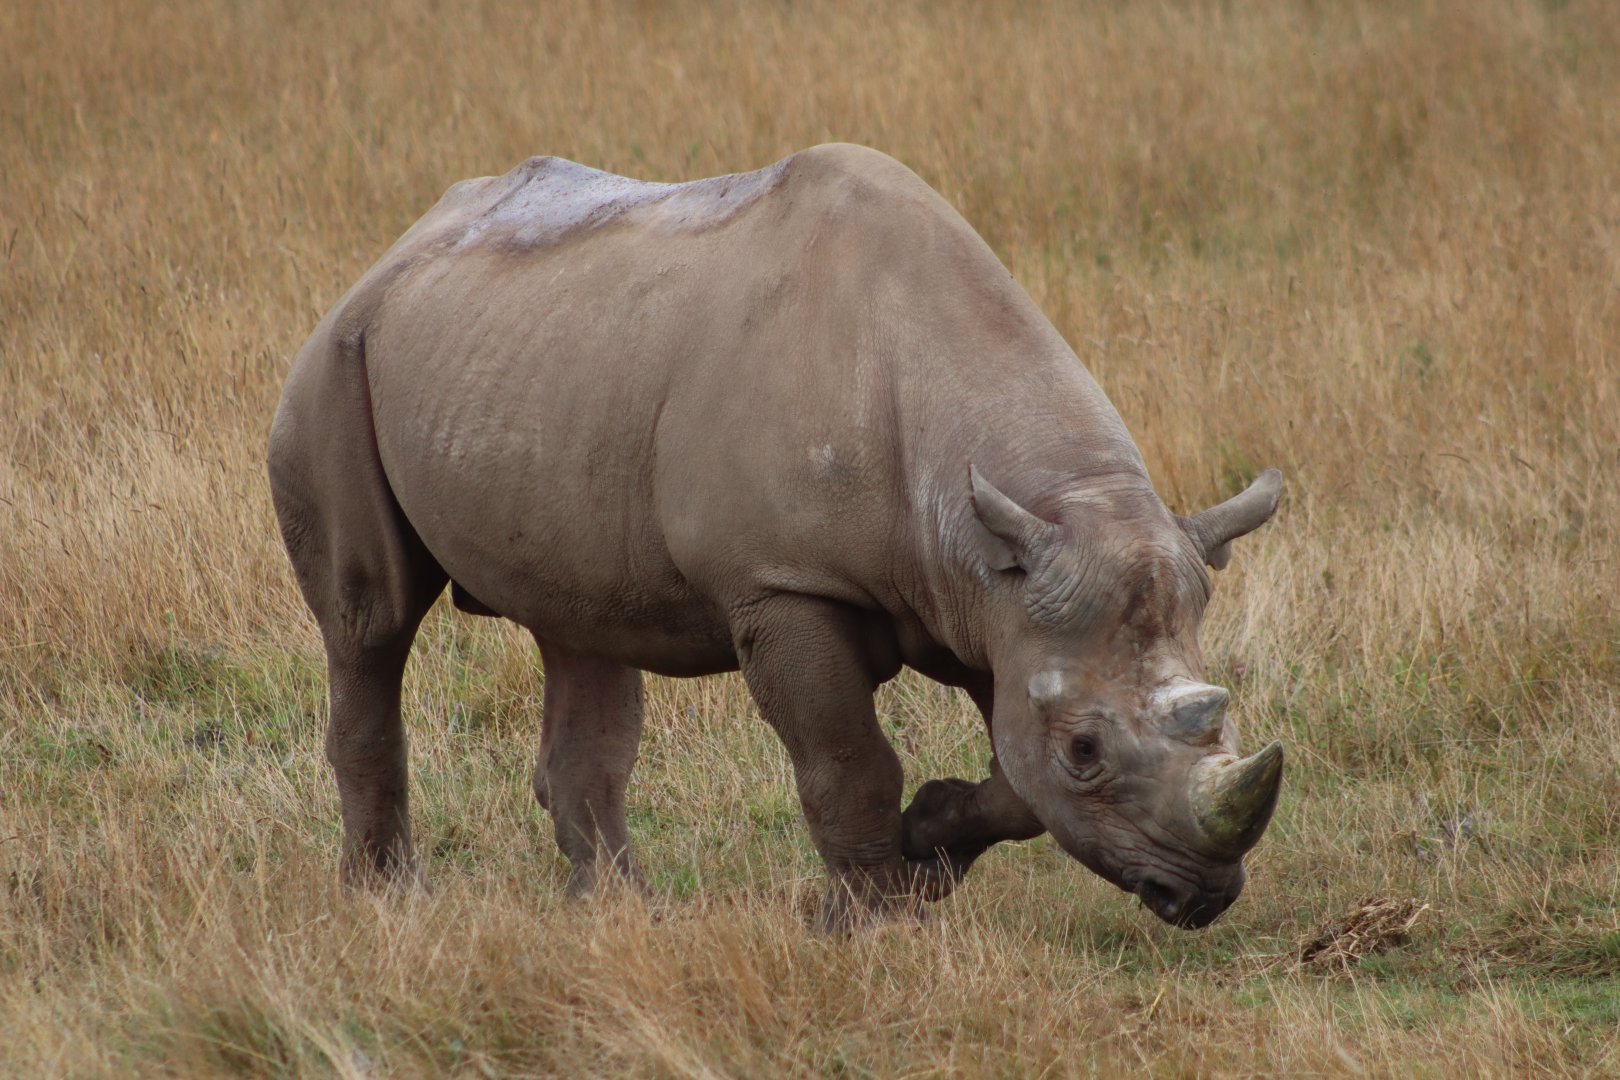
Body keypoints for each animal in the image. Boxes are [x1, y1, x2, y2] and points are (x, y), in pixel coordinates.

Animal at [268, 143, 1284, 930]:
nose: (1203, 896)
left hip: (531, 366)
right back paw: (389, 903)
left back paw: (623, 915)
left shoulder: (997, 591)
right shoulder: (787, 582)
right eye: (1086, 752)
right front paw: (874, 923)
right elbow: (848, 762)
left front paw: (928, 845)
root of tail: (400, 245)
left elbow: (1013, 774)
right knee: (371, 623)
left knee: (578, 629)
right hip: (337, 362)